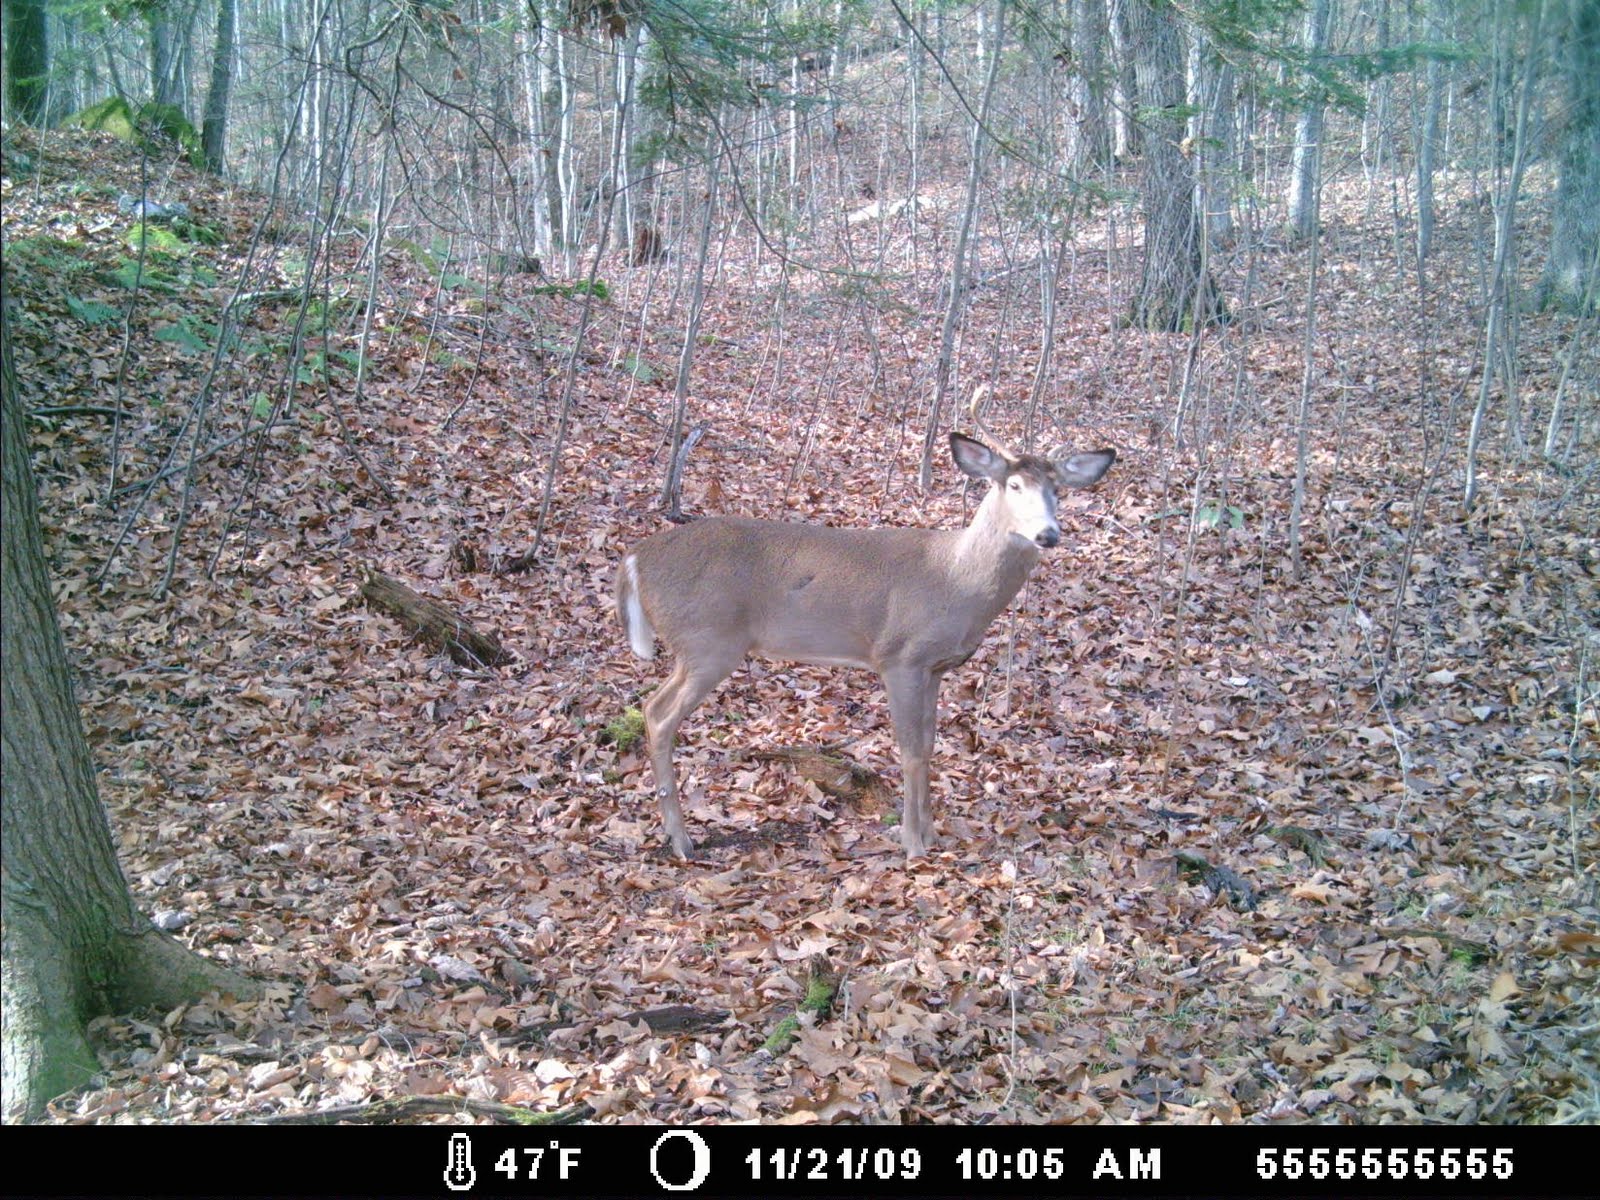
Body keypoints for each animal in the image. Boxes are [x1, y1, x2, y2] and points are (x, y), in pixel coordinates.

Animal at [615, 431, 1116, 861]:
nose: (1048, 534)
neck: (957, 582)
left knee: (652, 708)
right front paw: (913, 843)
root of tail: (634, 559)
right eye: (1013, 484)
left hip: (697, 648)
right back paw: (681, 840)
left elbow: (929, 745)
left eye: (1058, 490)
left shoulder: (935, 667)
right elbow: (910, 751)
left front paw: (932, 833)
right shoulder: (899, 657)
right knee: (658, 714)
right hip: (707, 642)